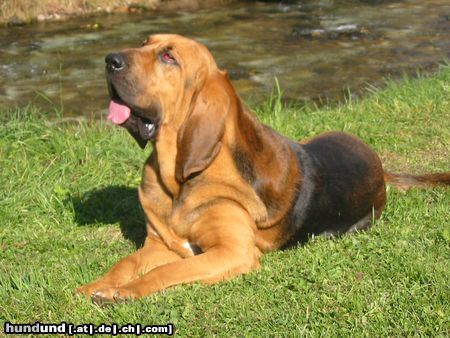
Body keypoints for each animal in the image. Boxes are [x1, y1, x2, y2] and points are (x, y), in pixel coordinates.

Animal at [77, 35, 450, 304]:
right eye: (144, 43)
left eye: (169, 57)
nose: (110, 60)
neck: (178, 181)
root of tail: (379, 165)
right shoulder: (160, 244)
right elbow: (126, 263)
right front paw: (95, 285)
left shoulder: (231, 252)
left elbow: (166, 273)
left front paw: (122, 292)